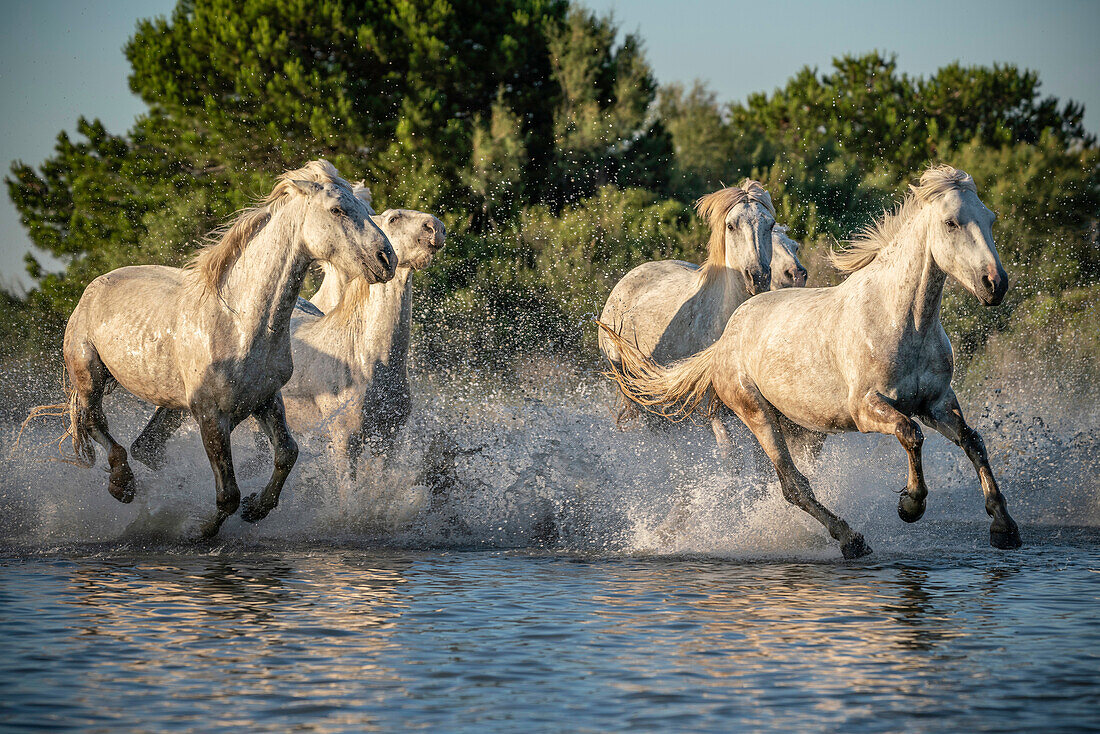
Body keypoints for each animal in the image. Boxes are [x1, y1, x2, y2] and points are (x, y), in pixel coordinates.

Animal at [52, 161, 396, 539]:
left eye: (365, 208)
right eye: (337, 210)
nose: (387, 260)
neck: (239, 322)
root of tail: (95, 285)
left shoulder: (265, 399)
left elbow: (287, 453)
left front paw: (257, 508)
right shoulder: (210, 414)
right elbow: (228, 493)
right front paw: (197, 530)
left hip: (171, 403)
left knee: (148, 446)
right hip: (89, 373)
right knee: (94, 420)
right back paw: (123, 485)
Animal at [602, 165, 1020, 556]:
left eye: (990, 218)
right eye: (951, 222)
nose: (995, 284)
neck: (902, 320)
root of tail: (726, 338)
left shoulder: (936, 402)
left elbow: (973, 441)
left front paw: (1004, 527)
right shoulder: (867, 409)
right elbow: (911, 434)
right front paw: (910, 506)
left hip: (795, 424)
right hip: (754, 414)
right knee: (792, 484)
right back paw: (850, 539)